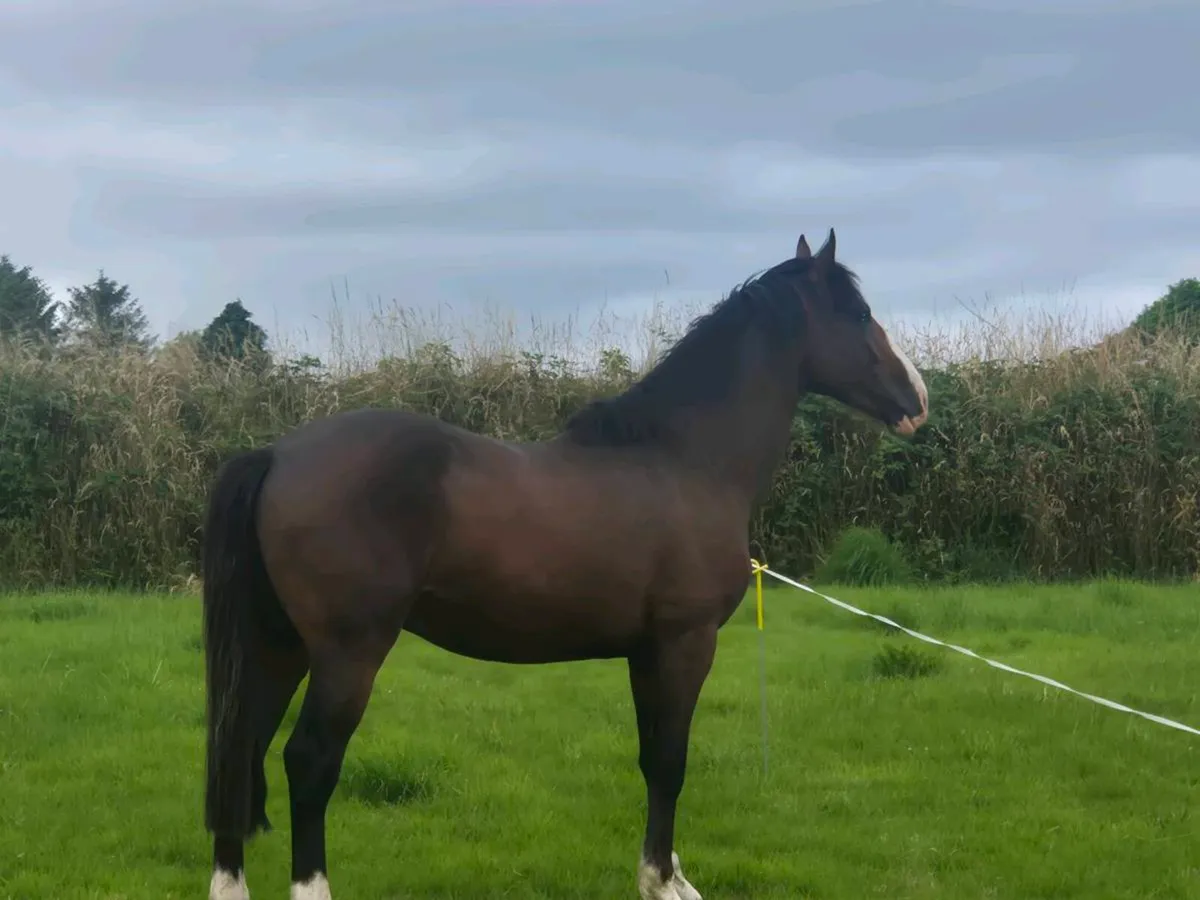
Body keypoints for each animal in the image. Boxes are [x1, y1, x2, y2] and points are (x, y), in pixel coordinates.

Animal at [201, 228, 929, 900]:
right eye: (859, 313)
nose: (916, 400)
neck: (683, 460)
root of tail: (278, 454)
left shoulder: (645, 651)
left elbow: (651, 758)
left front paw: (665, 874)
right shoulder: (685, 643)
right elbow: (672, 761)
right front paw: (663, 882)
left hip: (279, 645)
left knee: (242, 748)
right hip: (347, 651)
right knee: (308, 761)